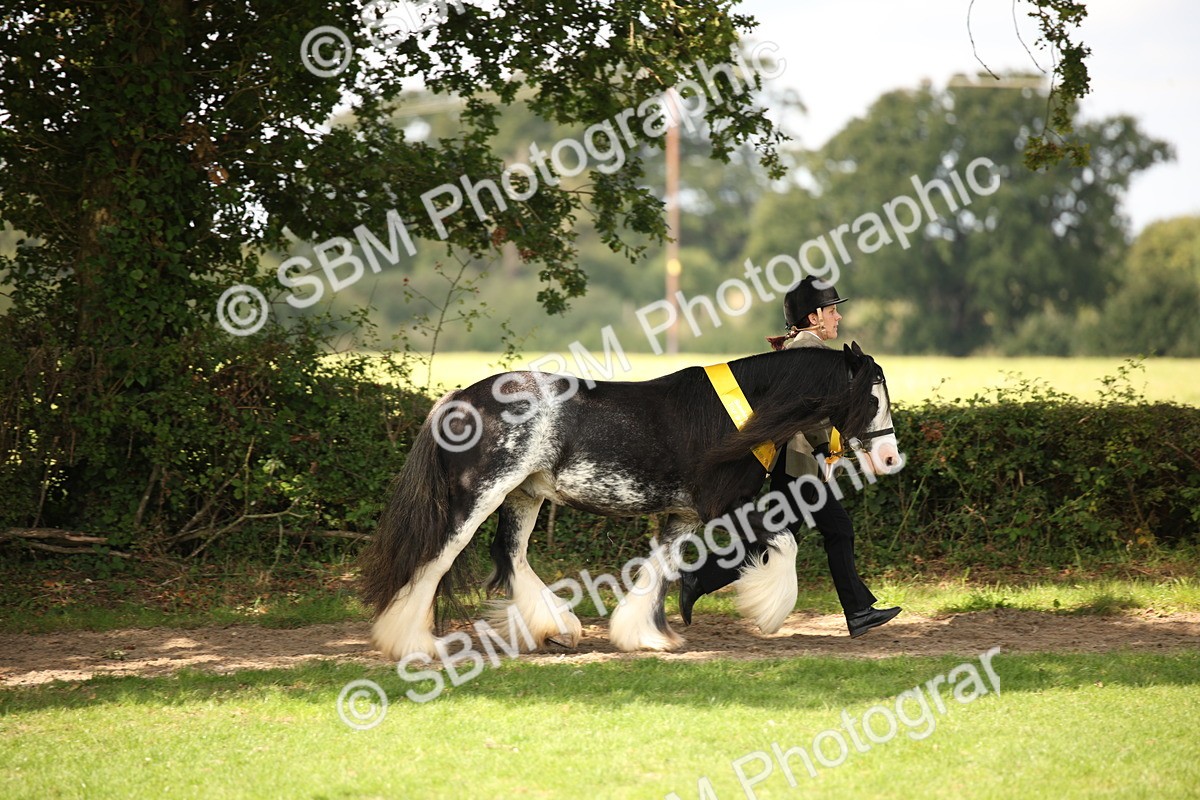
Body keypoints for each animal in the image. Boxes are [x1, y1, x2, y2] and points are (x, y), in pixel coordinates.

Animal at [360, 341, 901, 661]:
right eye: (873, 398)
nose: (891, 457)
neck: (741, 415)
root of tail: (458, 400)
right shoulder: (726, 505)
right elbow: (784, 545)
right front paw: (766, 610)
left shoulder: (682, 514)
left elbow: (658, 570)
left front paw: (645, 635)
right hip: (479, 494)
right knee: (435, 560)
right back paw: (412, 644)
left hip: (523, 494)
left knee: (510, 555)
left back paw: (556, 628)